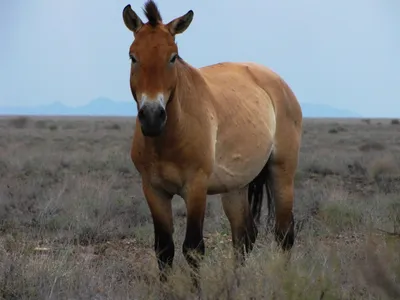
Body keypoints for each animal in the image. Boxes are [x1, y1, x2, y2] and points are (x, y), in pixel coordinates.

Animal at [122, 0, 304, 286]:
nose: (152, 117)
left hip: (282, 174)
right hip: (235, 187)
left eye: (172, 57)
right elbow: (164, 249)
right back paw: (236, 284)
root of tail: (278, 83)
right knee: (244, 236)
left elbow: (193, 249)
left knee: (284, 234)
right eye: (133, 56)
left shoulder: (195, 188)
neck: (169, 137)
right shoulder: (153, 190)